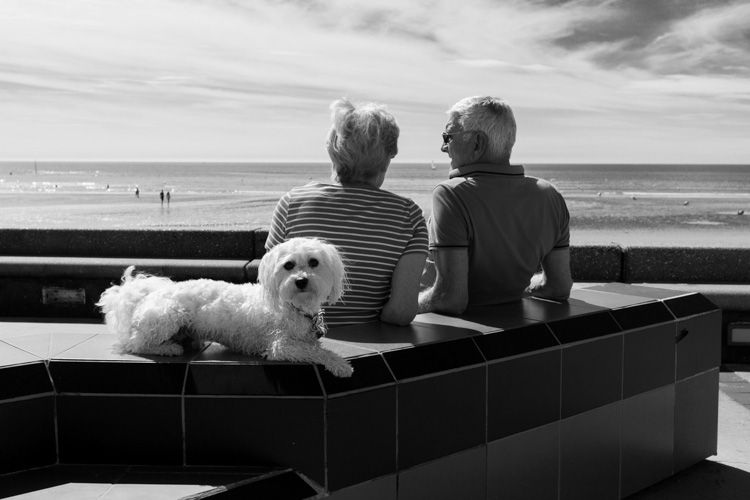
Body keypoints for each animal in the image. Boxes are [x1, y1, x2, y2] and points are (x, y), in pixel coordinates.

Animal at [96, 237, 352, 376]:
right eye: (288, 265)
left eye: (314, 262)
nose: (301, 281)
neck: (292, 306)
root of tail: (146, 295)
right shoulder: (281, 346)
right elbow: (317, 351)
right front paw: (340, 364)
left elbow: (315, 346)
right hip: (169, 315)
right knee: (135, 343)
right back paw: (167, 348)